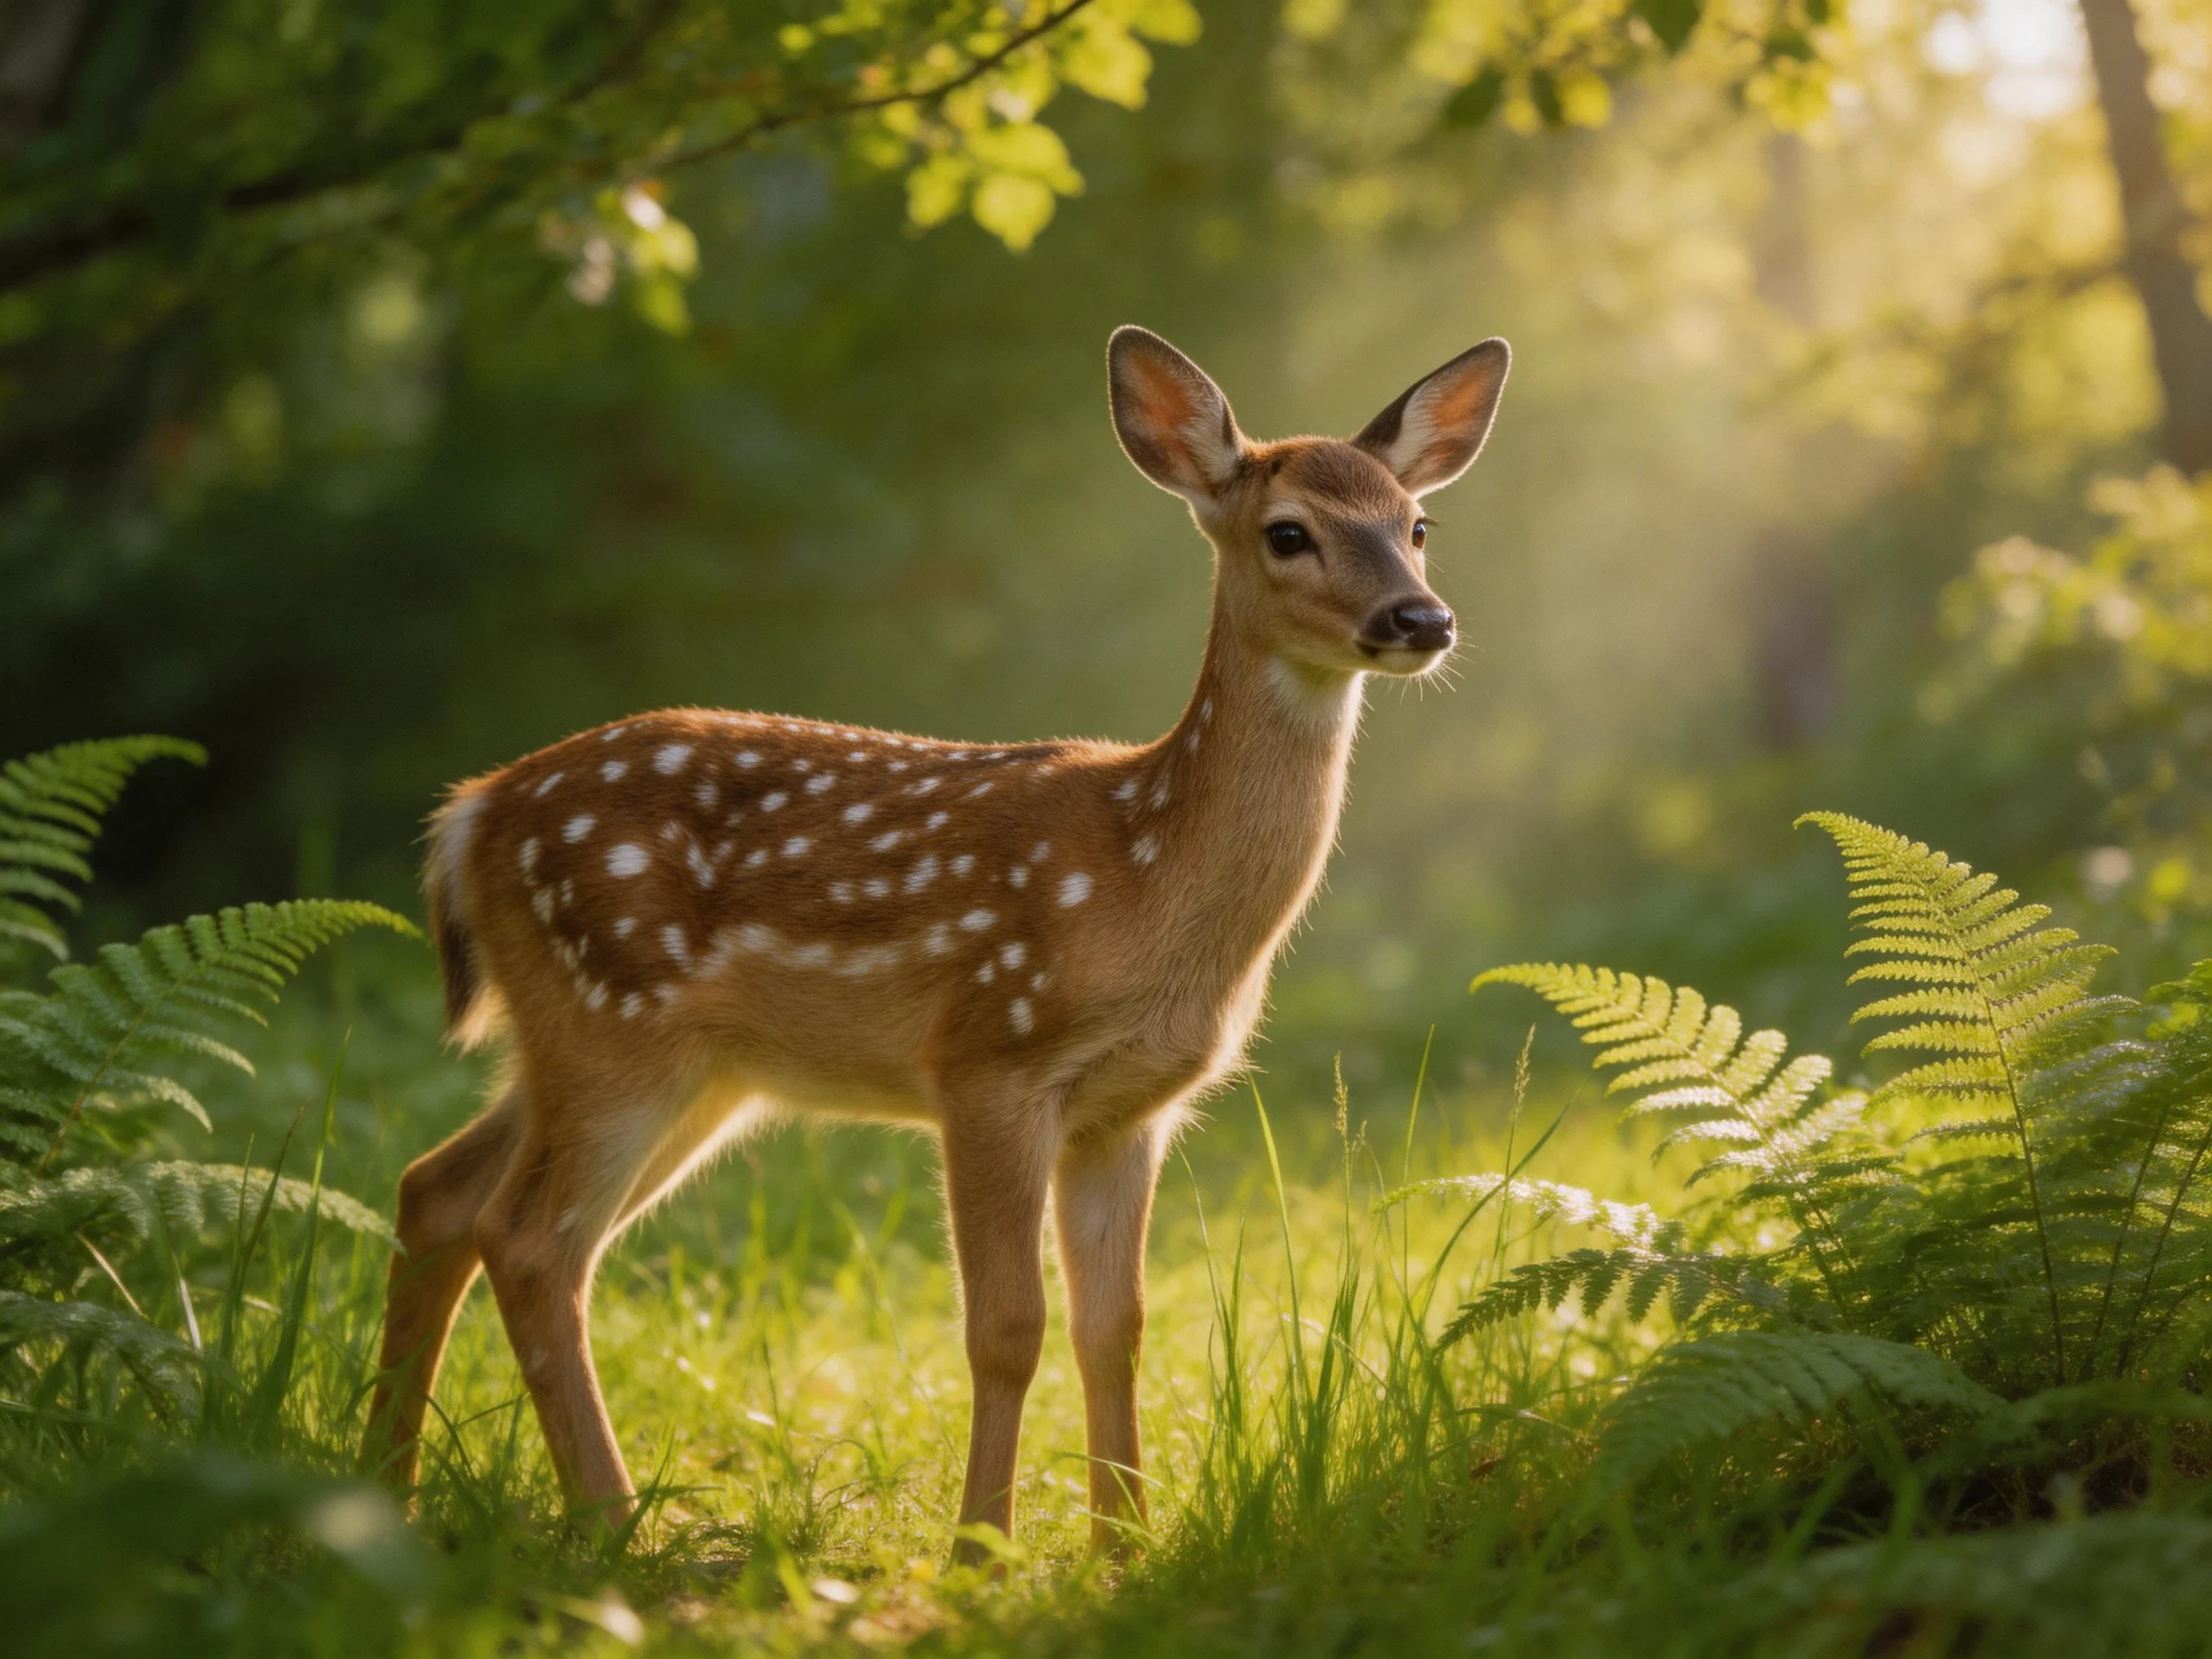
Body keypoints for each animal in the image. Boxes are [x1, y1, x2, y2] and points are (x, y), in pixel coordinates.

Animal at [361, 325, 1511, 1559]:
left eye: (1416, 525)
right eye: (1288, 530)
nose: (1421, 620)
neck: (1145, 875)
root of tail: (469, 813)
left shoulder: (1131, 1109)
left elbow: (1118, 1325)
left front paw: (1125, 1545)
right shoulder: (987, 1058)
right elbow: (1007, 1325)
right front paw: (980, 1551)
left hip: (648, 1063)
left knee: (441, 1193)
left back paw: (386, 1485)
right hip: (613, 1026)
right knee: (532, 1243)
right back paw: (616, 1521)